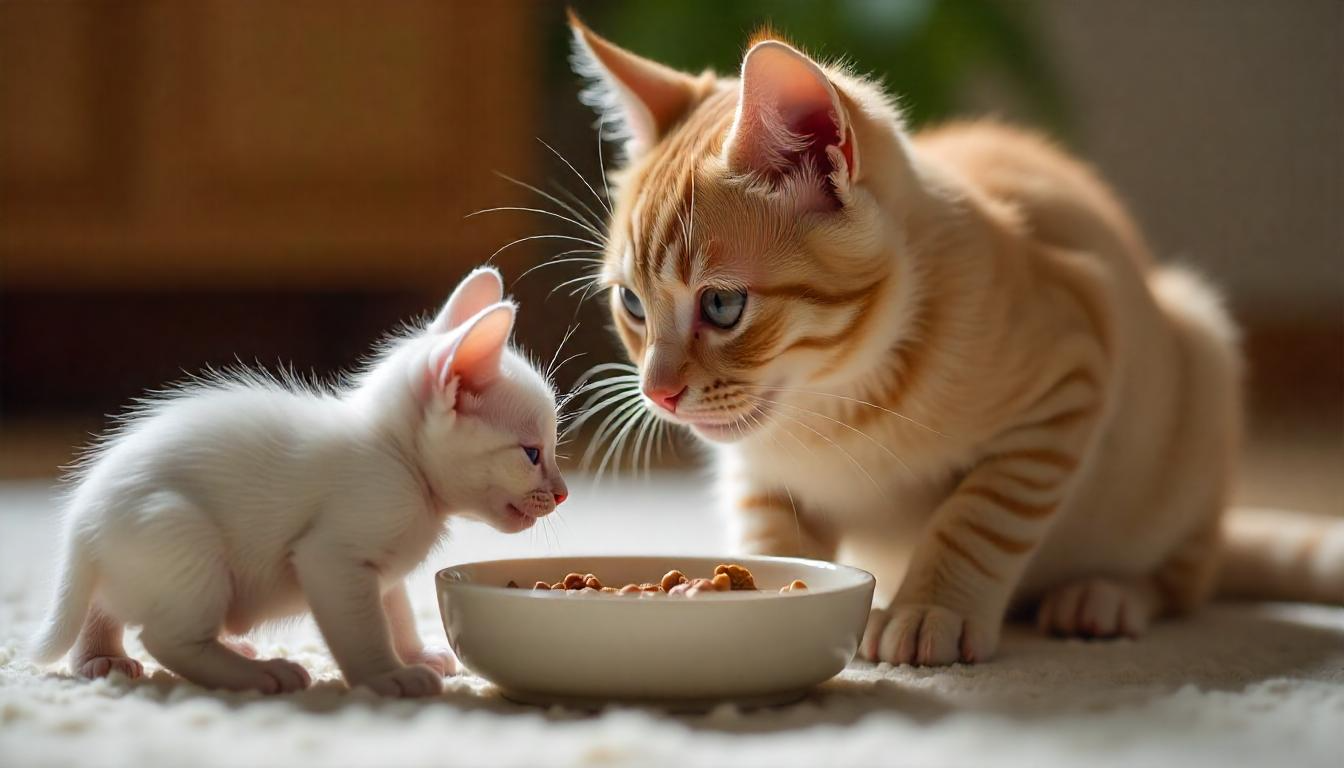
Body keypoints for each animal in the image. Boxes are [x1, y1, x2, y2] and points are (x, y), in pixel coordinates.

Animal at [30, 269, 567, 699]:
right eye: (532, 453)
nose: (562, 493)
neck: (399, 456)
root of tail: (81, 528)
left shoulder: (379, 569)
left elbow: (393, 610)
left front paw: (413, 654)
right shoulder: (334, 555)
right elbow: (363, 628)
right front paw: (387, 676)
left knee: (102, 608)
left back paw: (102, 659)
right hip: (181, 533)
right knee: (167, 639)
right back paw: (255, 673)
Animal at [561, 13, 1338, 667]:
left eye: (722, 305)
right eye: (632, 304)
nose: (657, 392)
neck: (829, 406)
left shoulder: (1071, 377)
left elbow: (978, 517)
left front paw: (933, 608)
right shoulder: (758, 472)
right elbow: (774, 534)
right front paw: (766, 586)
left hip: (1199, 355)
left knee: (1186, 580)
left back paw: (1106, 596)